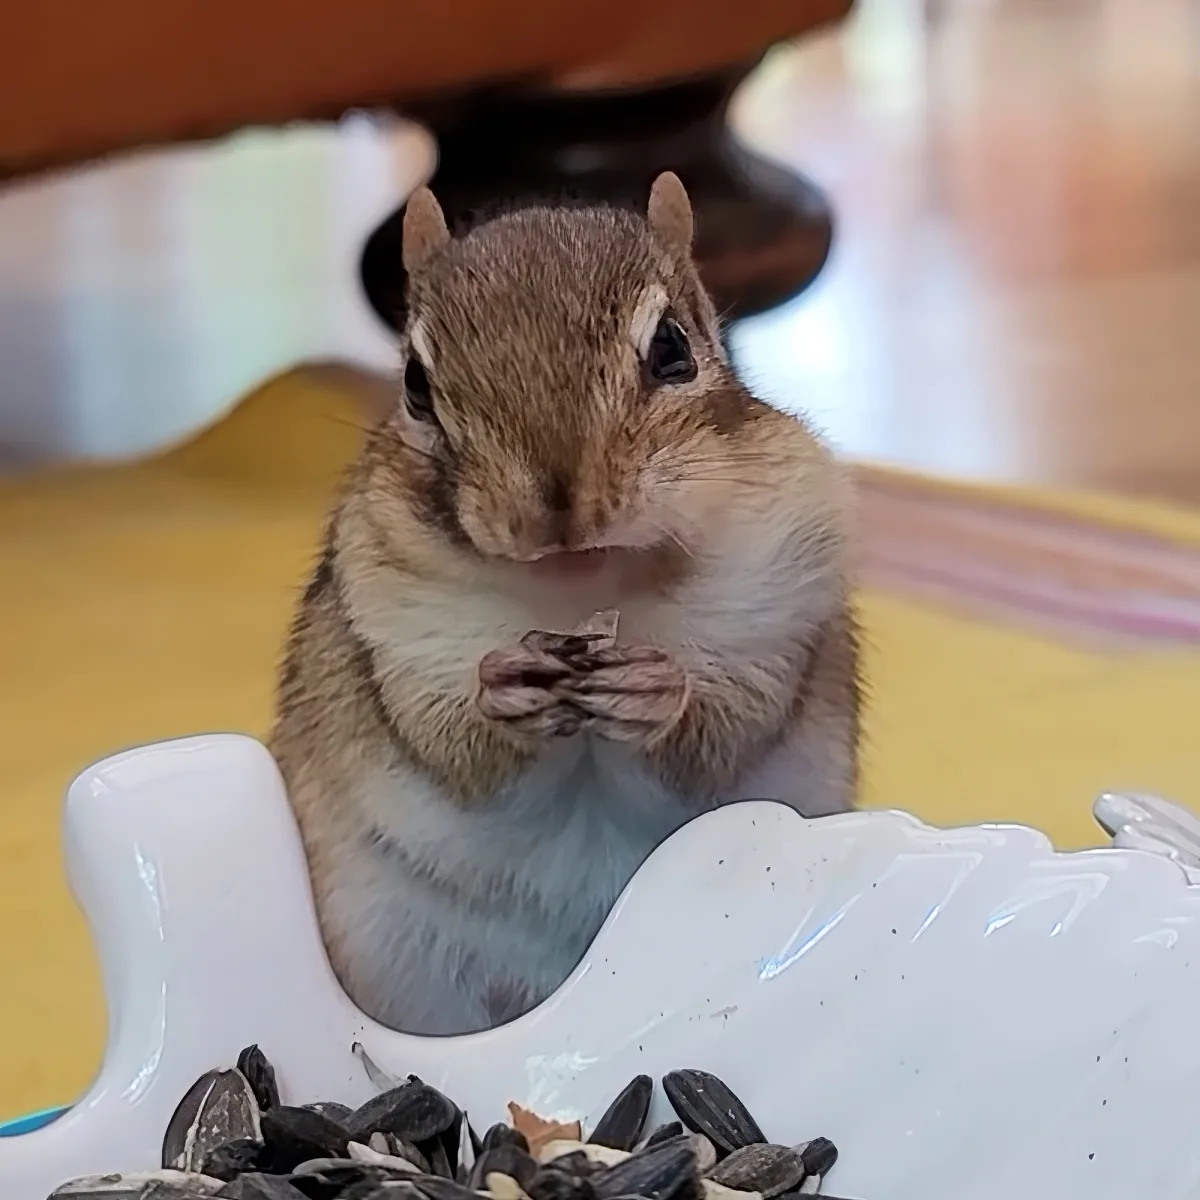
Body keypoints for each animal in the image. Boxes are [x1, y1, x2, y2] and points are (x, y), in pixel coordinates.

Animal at [270, 173, 860, 1035]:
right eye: (414, 385)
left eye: (673, 348)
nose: (556, 515)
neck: (586, 593)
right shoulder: (391, 632)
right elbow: (449, 747)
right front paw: (502, 688)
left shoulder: (777, 614)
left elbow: (723, 734)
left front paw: (660, 690)